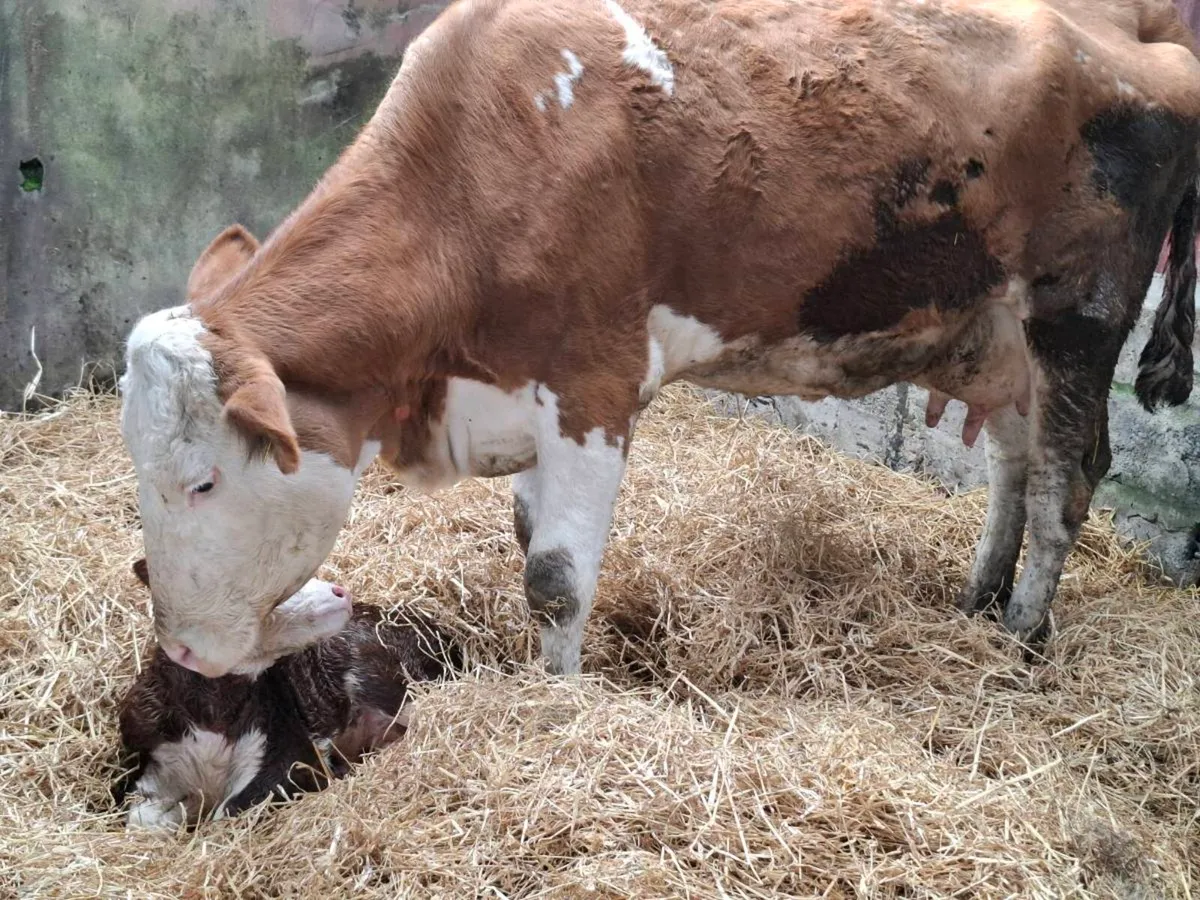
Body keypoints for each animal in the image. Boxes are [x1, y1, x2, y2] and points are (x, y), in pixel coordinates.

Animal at [117, 0, 1200, 679]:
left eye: (203, 482)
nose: (180, 652)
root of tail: (1144, 46)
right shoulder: (523, 390)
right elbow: (530, 538)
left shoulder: (593, 381)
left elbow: (555, 580)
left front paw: (555, 702)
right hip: (993, 328)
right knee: (1016, 463)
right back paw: (979, 599)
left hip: (1078, 317)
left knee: (1065, 486)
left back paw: (1019, 640)